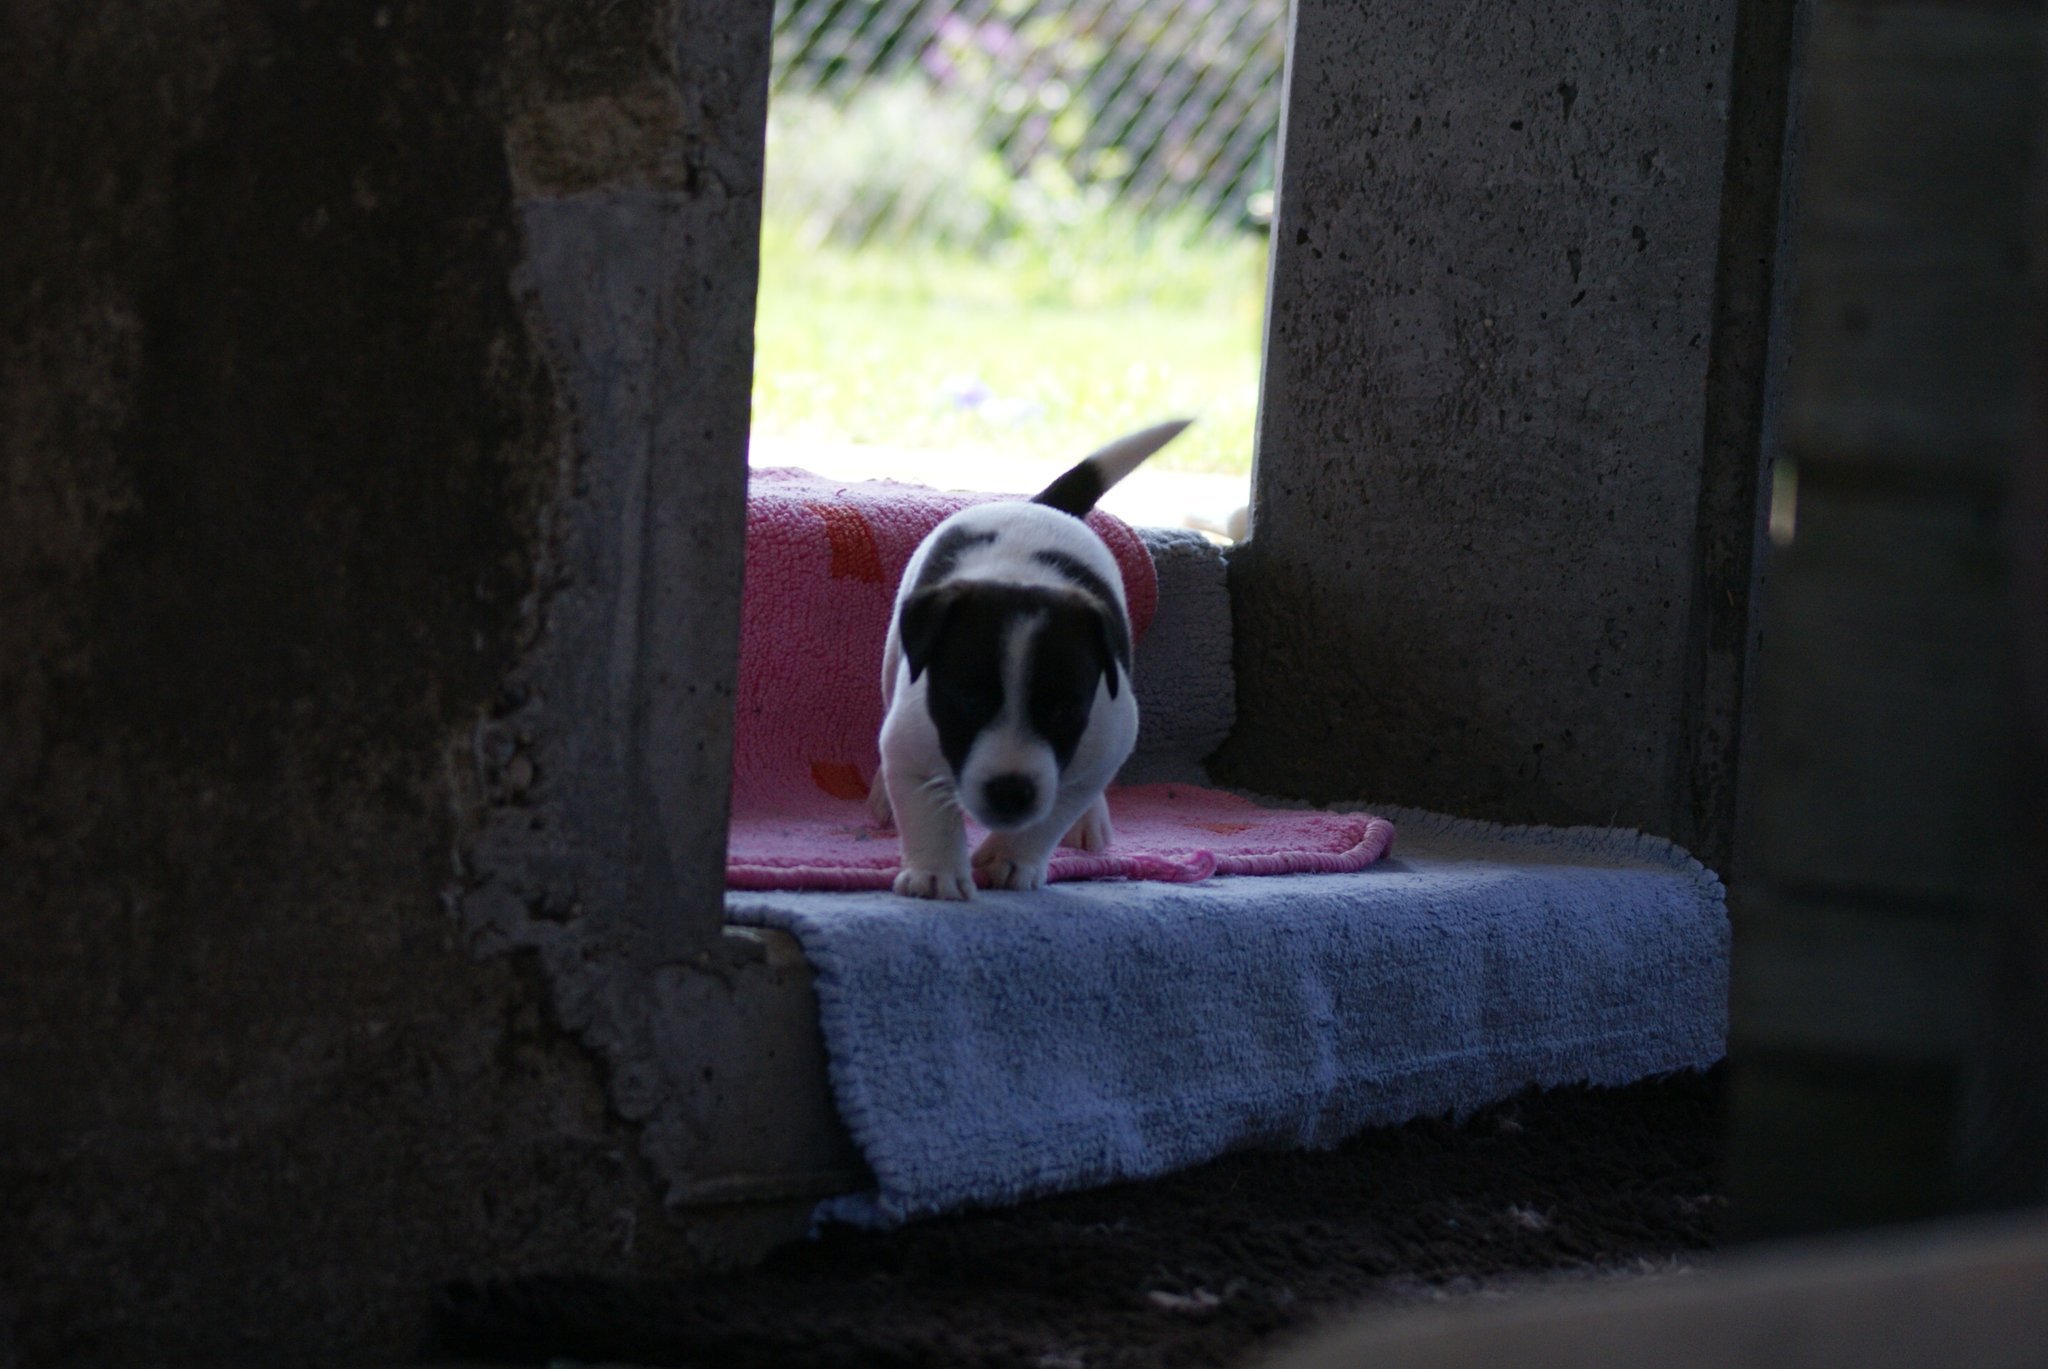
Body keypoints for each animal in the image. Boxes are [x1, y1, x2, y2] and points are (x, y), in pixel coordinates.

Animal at [868, 419, 1191, 899]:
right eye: (968, 701)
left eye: (1063, 711)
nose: (1010, 791)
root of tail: (1039, 507)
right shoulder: (911, 739)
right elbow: (927, 811)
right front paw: (935, 873)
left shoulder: (1105, 736)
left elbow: (1055, 810)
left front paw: (1011, 858)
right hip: (893, 660)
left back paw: (1091, 820)